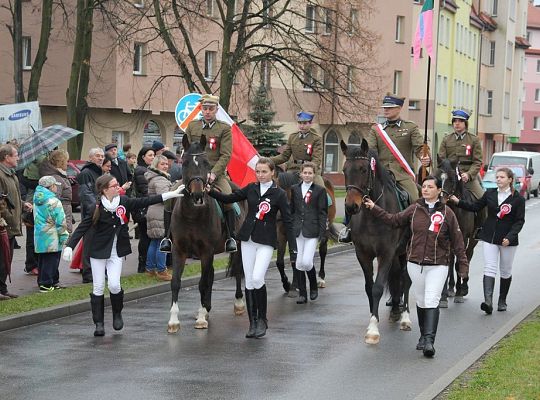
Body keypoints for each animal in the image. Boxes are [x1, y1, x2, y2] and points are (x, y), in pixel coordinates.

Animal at [167, 133, 247, 332]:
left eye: (206, 163)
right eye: (185, 163)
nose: (197, 196)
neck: (191, 215)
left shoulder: (206, 251)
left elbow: (202, 282)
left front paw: (201, 318)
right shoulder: (179, 250)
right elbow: (176, 282)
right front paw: (174, 320)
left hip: (237, 246)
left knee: (237, 269)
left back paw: (238, 303)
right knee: (210, 275)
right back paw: (207, 307)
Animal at [274, 167, 338, 296]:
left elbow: (295, 259)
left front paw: (294, 286)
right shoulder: (281, 234)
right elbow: (280, 262)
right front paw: (287, 285)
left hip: (324, 231)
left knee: (323, 251)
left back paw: (321, 279)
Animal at [340, 138, 412, 344]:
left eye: (364, 169)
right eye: (344, 170)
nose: (351, 206)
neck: (373, 216)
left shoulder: (386, 253)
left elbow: (378, 287)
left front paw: (373, 329)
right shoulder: (363, 254)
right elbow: (369, 287)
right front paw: (374, 318)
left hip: (405, 251)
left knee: (406, 280)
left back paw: (405, 317)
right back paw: (395, 310)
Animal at [432, 158, 478, 304]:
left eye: (452, 180)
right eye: (436, 178)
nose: (439, 201)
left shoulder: (463, 238)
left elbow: (459, 264)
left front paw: (459, 293)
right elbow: (447, 265)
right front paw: (443, 297)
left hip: (473, 240)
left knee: (467, 257)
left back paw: (463, 288)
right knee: (452, 259)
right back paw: (451, 288)